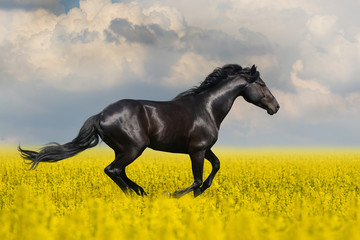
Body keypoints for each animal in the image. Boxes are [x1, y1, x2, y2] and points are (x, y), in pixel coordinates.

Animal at [18, 63, 280, 197]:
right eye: (262, 84)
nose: (276, 107)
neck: (207, 108)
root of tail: (100, 115)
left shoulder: (204, 148)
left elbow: (215, 166)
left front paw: (200, 194)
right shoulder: (196, 150)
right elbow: (196, 179)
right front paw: (173, 194)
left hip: (124, 150)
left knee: (118, 171)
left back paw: (140, 191)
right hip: (134, 149)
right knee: (113, 170)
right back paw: (134, 194)